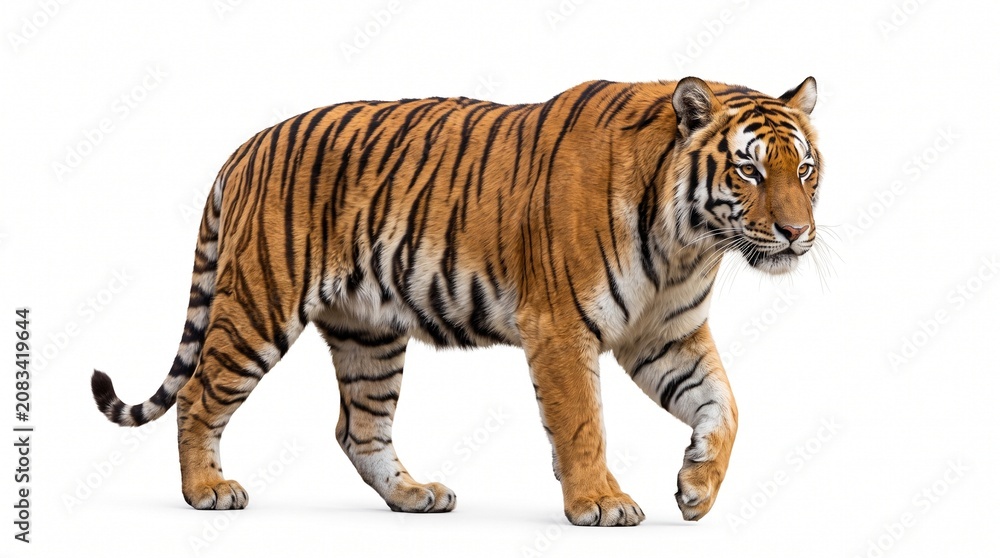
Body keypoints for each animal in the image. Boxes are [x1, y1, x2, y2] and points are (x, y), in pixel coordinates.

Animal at [91, 76, 821, 526]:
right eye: (750, 169)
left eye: (806, 169)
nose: (797, 232)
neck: (689, 244)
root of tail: (245, 148)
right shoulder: (560, 327)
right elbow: (583, 423)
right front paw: (600, 502)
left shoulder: (665, 336)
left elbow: (725, 406)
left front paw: (697, 489)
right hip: (259, 305)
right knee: (199, 395)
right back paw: (207, 491)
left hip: (369, 334)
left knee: (359, 428)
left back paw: (414, 496)